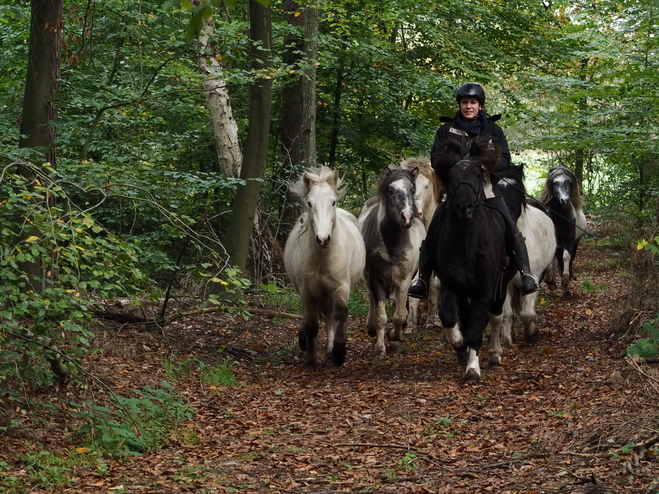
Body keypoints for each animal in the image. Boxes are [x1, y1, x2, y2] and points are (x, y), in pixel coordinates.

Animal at [284, 166, 366, 370]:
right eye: (310, 203)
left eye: (333, 202)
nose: (323, 239)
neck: (322, 259)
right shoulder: (306, 291)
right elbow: (312, 325)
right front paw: (310, 361)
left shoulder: (340, 287)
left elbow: (340, 315)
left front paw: (338, 354)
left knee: (330, 318)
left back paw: (329, 354)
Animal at [430, 139, 520, 382]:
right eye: (450, 176)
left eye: (478, 175)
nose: (465, 207)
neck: (467, 242)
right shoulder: (452, 285)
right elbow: (450, 317)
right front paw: (460, 346)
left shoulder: (486, 288)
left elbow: (475, 327)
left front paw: (472, 369)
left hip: (501, 285)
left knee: (496, 315)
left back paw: (495, 353)